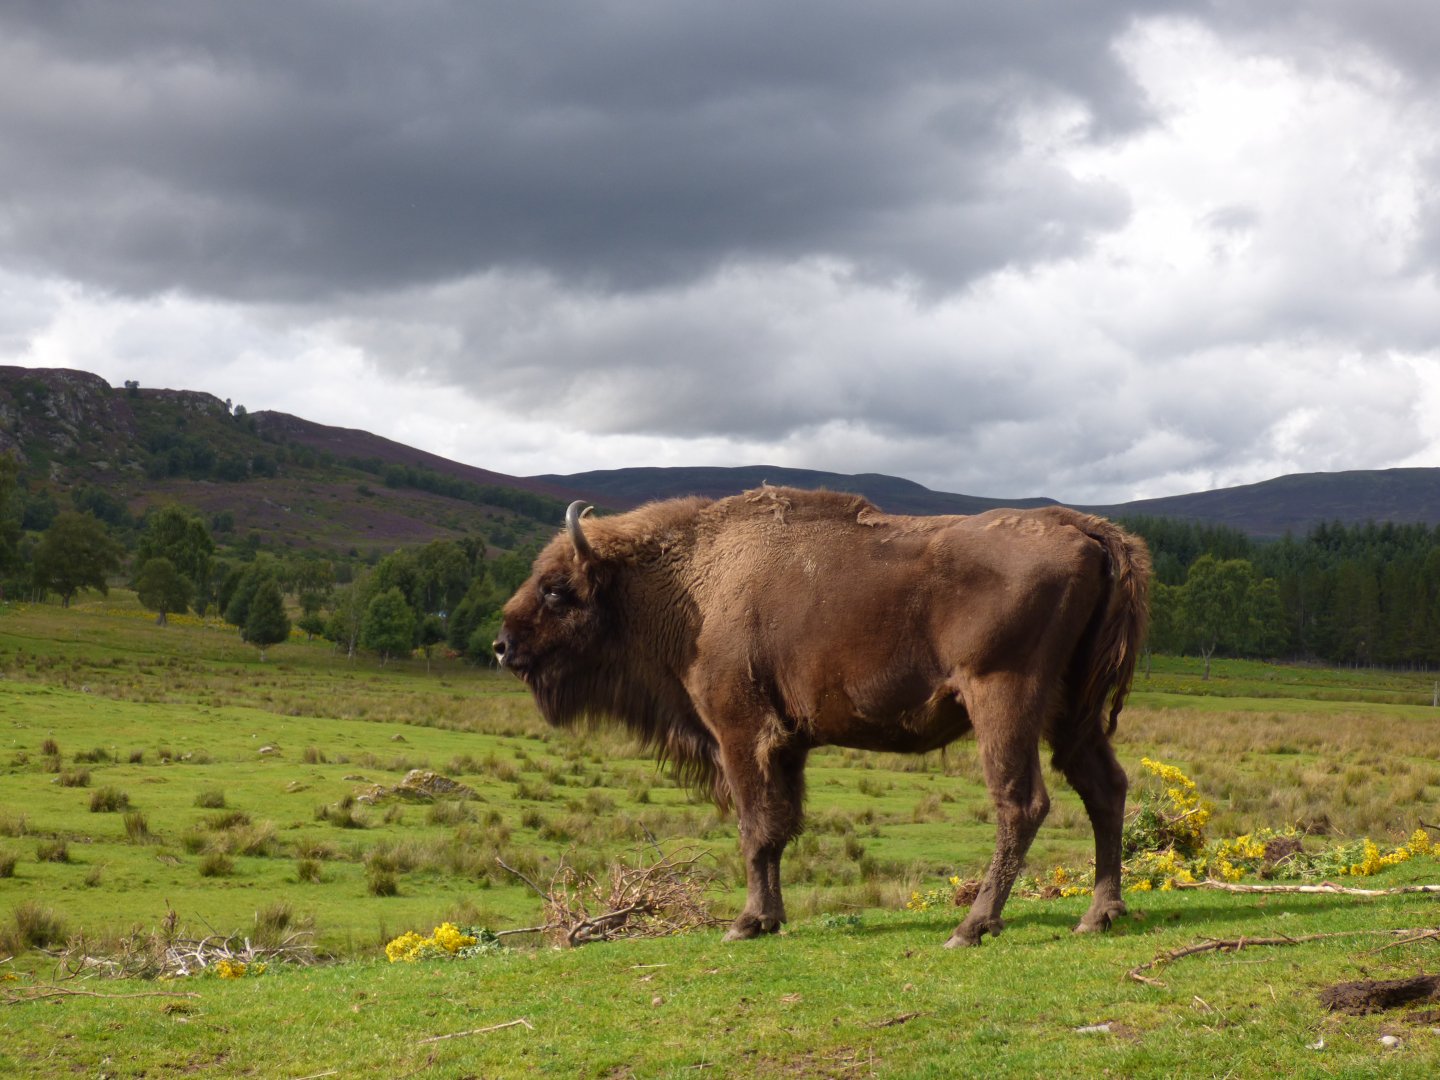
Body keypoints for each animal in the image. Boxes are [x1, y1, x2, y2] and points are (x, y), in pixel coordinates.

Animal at [495, 485, 1150, 947]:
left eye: (556, 588)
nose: (502, 646)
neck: (692, 582)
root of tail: (1081, 526)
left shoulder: (741, 733)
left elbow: (756, 826)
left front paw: (746, 923)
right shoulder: (787, 745)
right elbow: (781, 826)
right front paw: (771, 917)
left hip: (1004, 699)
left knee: (1021, 802)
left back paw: (971, 928)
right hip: (1072, 709)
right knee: (1105, 788)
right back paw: (1099, 915)